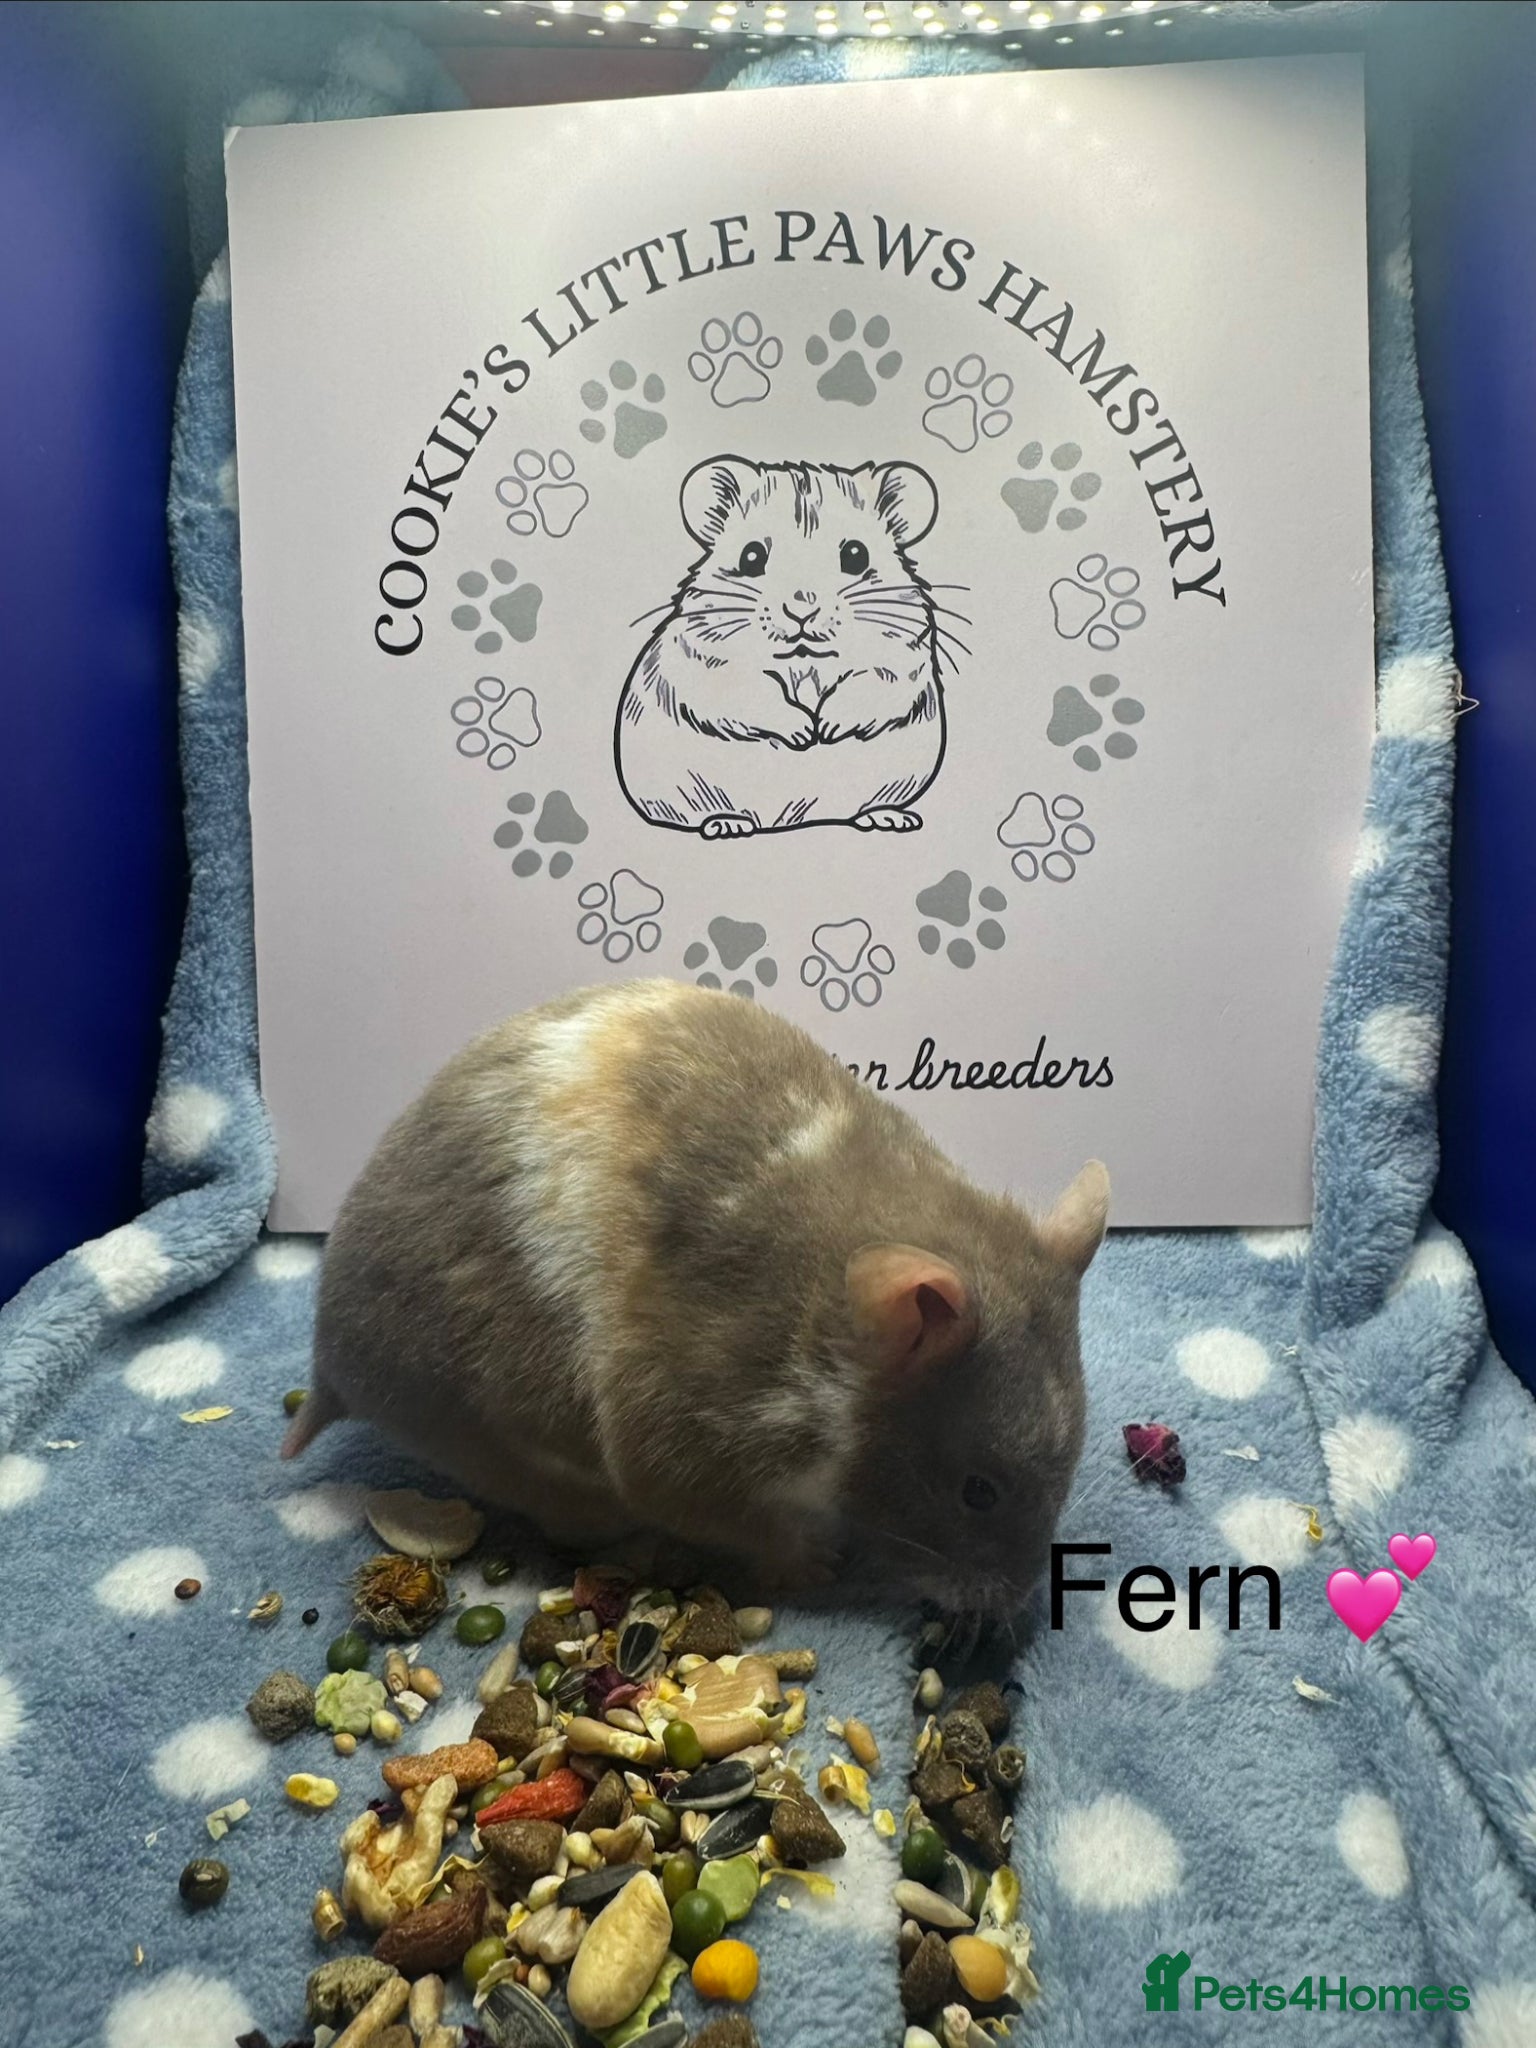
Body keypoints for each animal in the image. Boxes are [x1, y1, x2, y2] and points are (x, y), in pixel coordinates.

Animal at [284, 980, 1108, 1616]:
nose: (1013, 1611)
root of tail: (331, 1364)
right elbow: (736, 1516)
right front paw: (816, 1565)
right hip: (504, 1434)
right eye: (979, 1491)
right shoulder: (692, 1439)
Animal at [615, 457, 952, 839]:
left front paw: (826, 729)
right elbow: (751, 693)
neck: (805, 661)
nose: (801, 609)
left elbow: (869, 684)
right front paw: (805, 734)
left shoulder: (903, 656)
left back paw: (890, 818)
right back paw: (728, 823)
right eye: (751, 556)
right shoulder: (705, 659)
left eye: (856, 555)